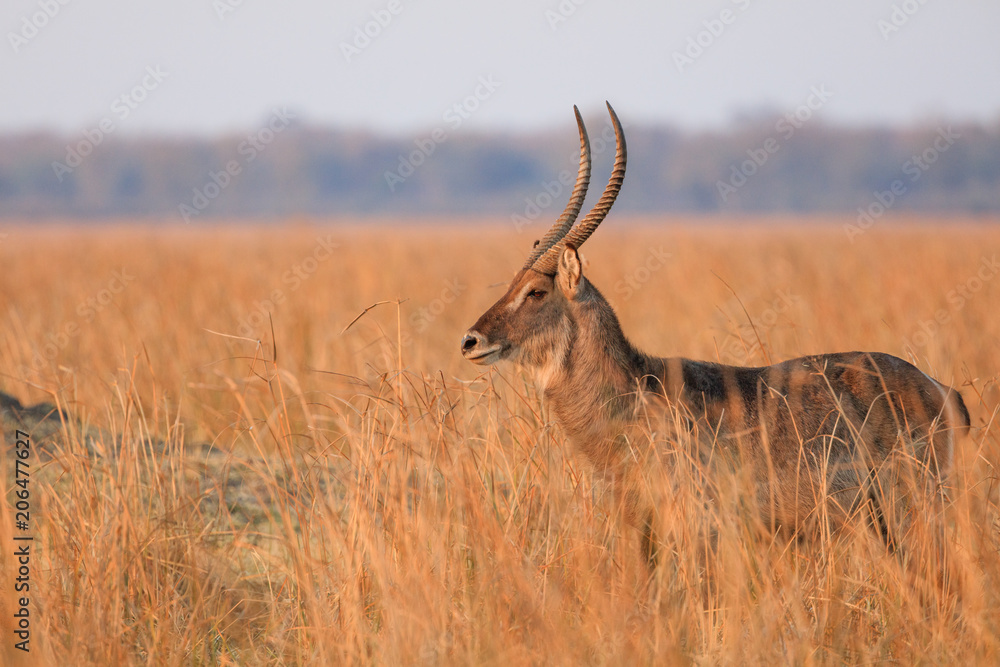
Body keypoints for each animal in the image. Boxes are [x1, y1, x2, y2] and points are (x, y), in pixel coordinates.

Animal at [460, 103, 970, 562]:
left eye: (535, 291)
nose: (470, 341)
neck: (635, 391)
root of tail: (939, 388)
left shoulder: (695, 525)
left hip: (911, 508)